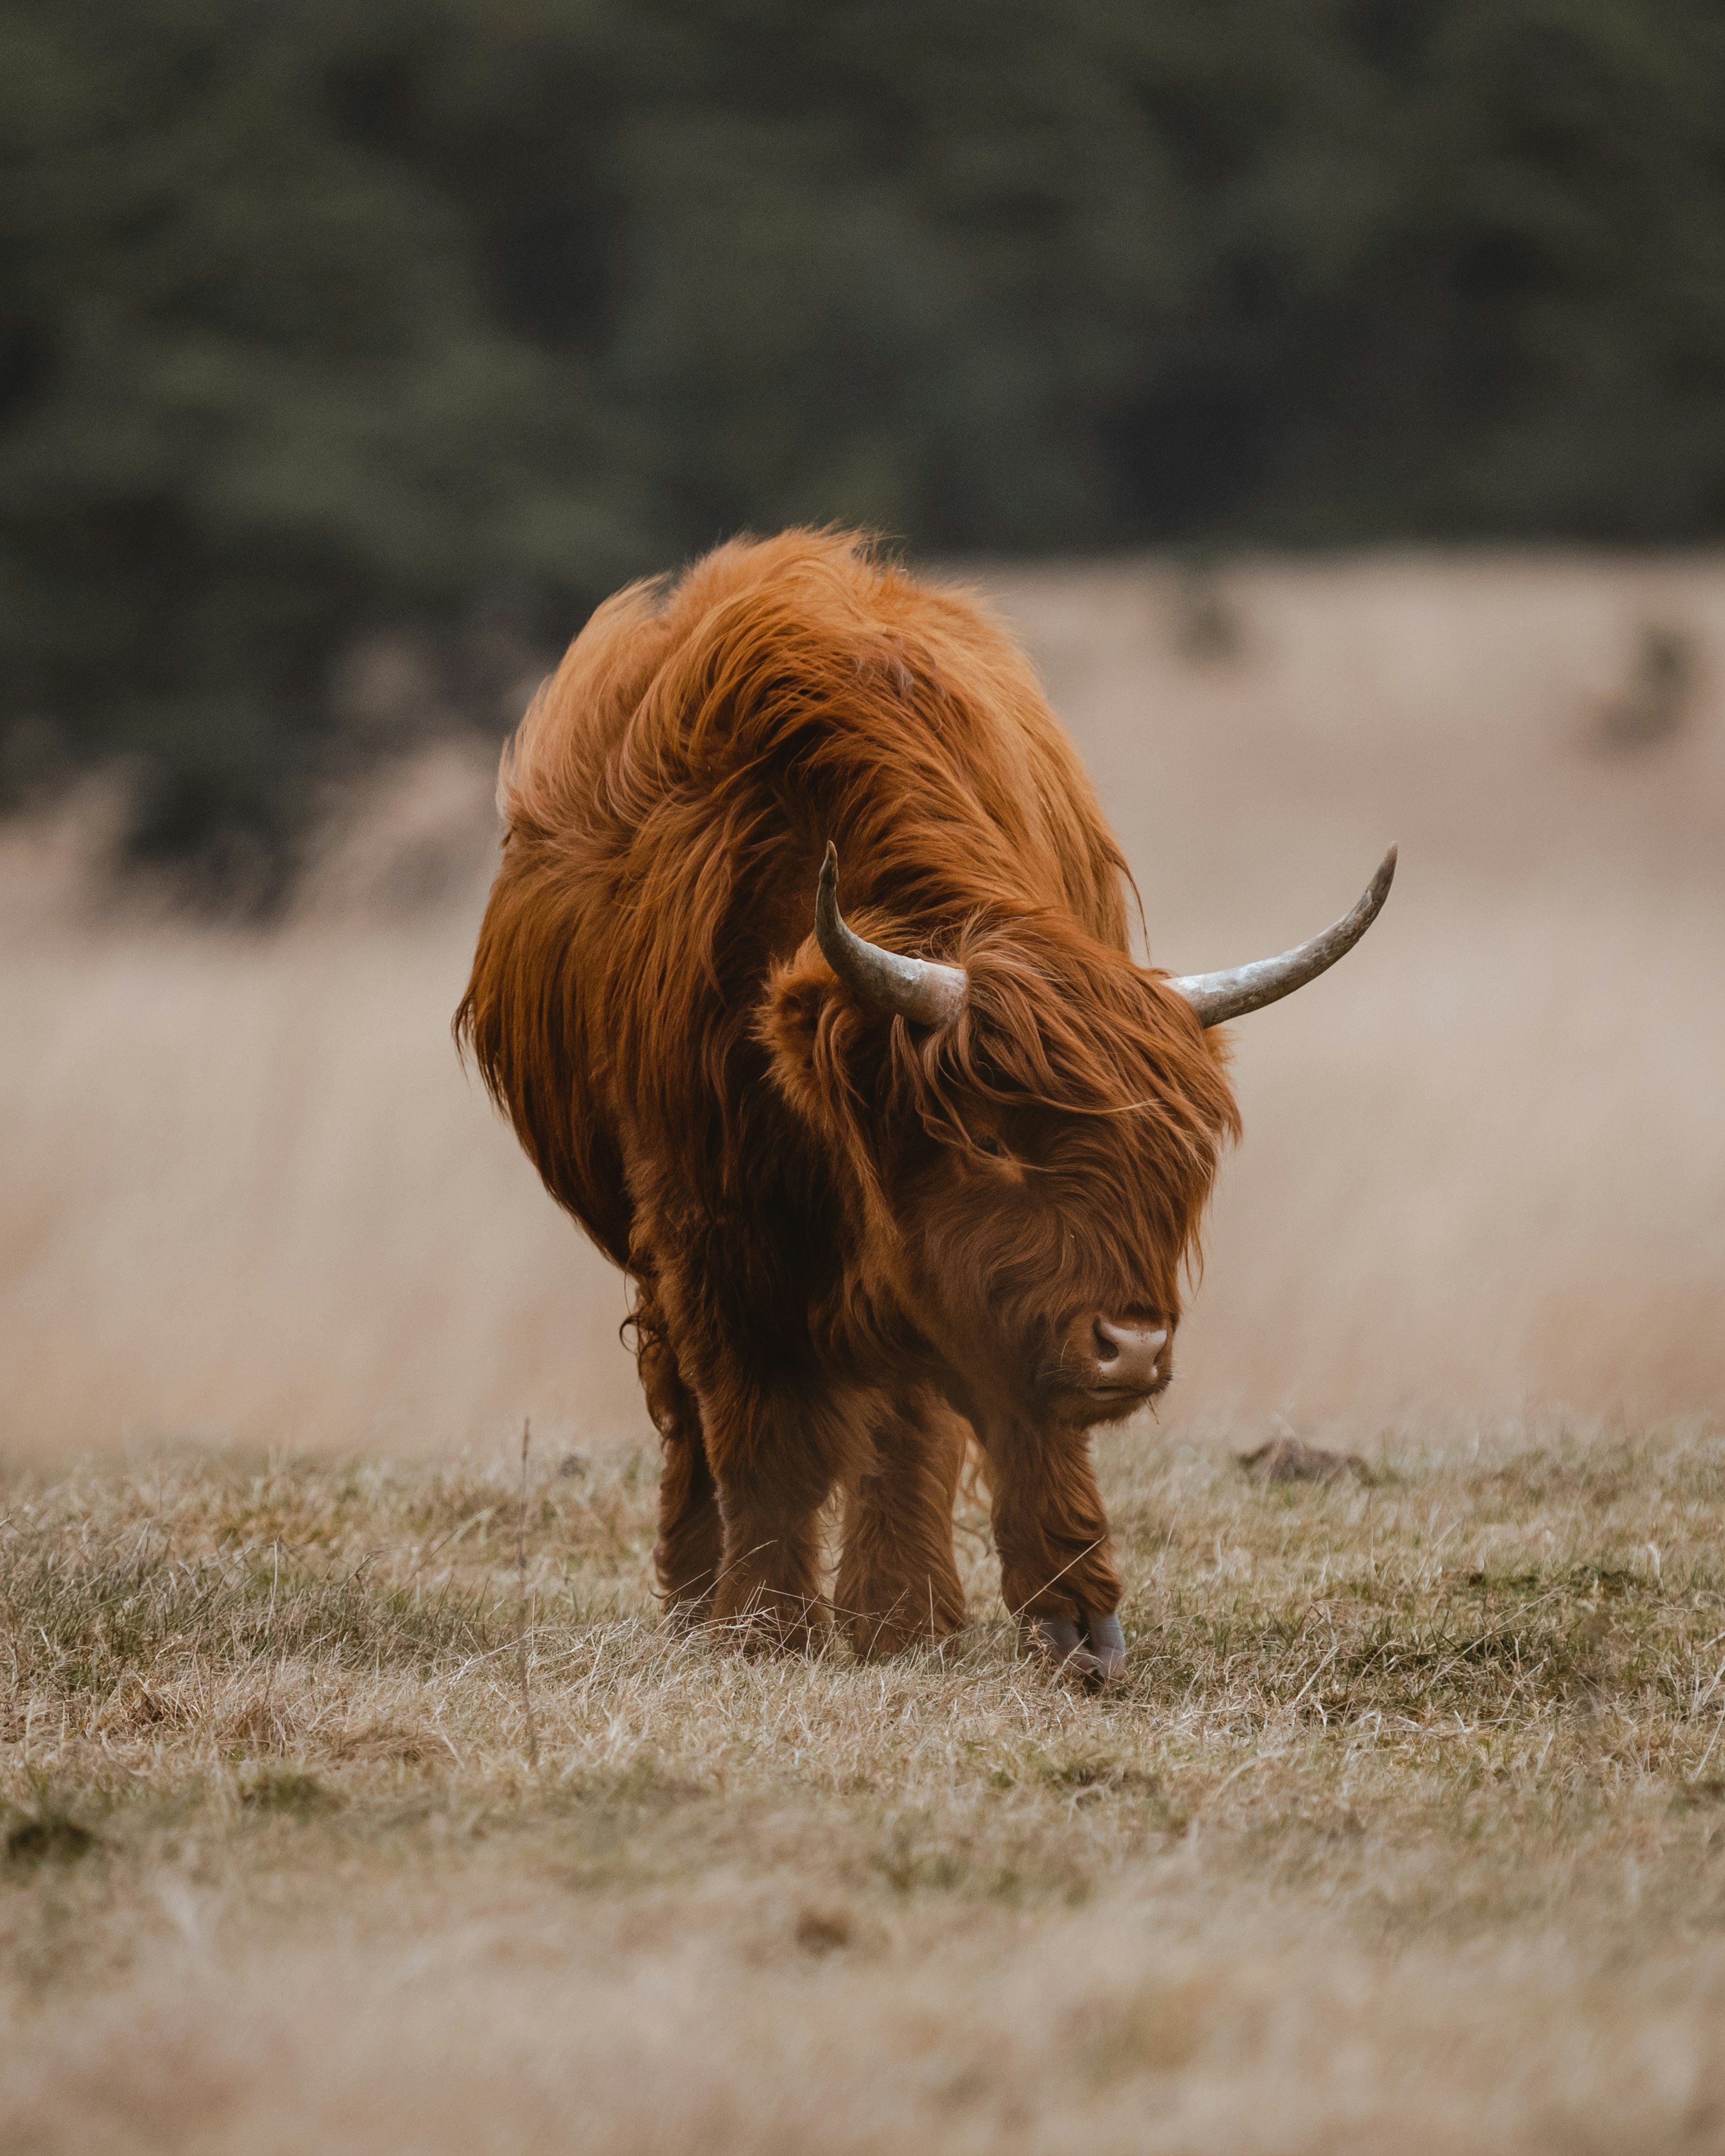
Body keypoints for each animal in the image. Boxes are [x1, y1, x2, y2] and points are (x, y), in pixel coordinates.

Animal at [455, 530, 1388, 1672]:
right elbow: (756, 1427)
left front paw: (1038, 1614)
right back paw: (694, 1596)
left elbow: (974, 1419)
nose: (1130, 1346)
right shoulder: (708, 1220)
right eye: (989, 1142)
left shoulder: (958, 1277)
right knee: (688, 1408)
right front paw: (764, 1623)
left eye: (1173, 1157)